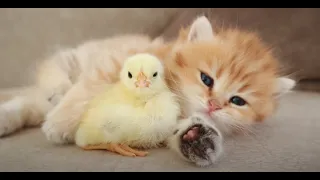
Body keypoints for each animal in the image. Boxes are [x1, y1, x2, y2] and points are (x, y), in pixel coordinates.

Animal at [0, 16, 296, 167]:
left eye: (237, 101)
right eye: (206, 79)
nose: (214, 105)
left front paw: (199, 137)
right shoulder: (121, 60)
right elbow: (90, 85)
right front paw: (60, 123)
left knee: (27, 104)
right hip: (72, 59)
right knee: (54, 71)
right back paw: (57, 92)